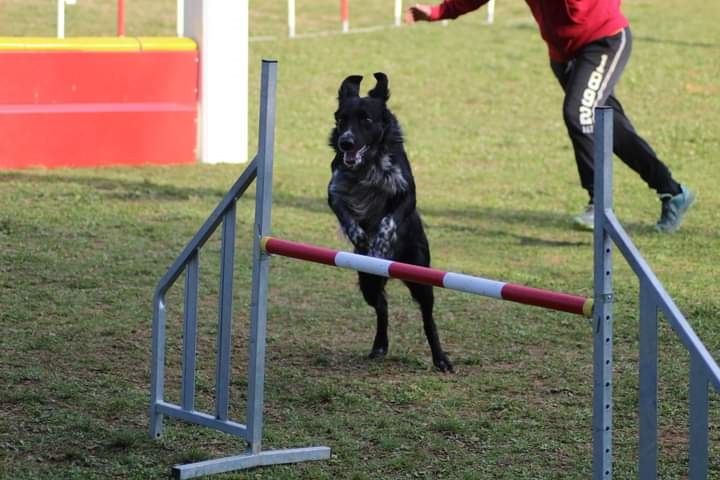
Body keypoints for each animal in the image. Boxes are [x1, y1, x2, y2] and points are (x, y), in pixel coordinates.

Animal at [330, 73, 452, 374]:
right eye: (341, 119)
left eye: (366, 119)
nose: (346, 143)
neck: (367, 163)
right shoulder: (334, 189)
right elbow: (345, 214)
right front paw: (361, 237)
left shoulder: (406, 192)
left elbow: (389, 219)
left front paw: (380, 242)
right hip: (368, 281)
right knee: (382, 307)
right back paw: (380, 346)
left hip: (421, 276)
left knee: (428, 317)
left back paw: (440, 358)